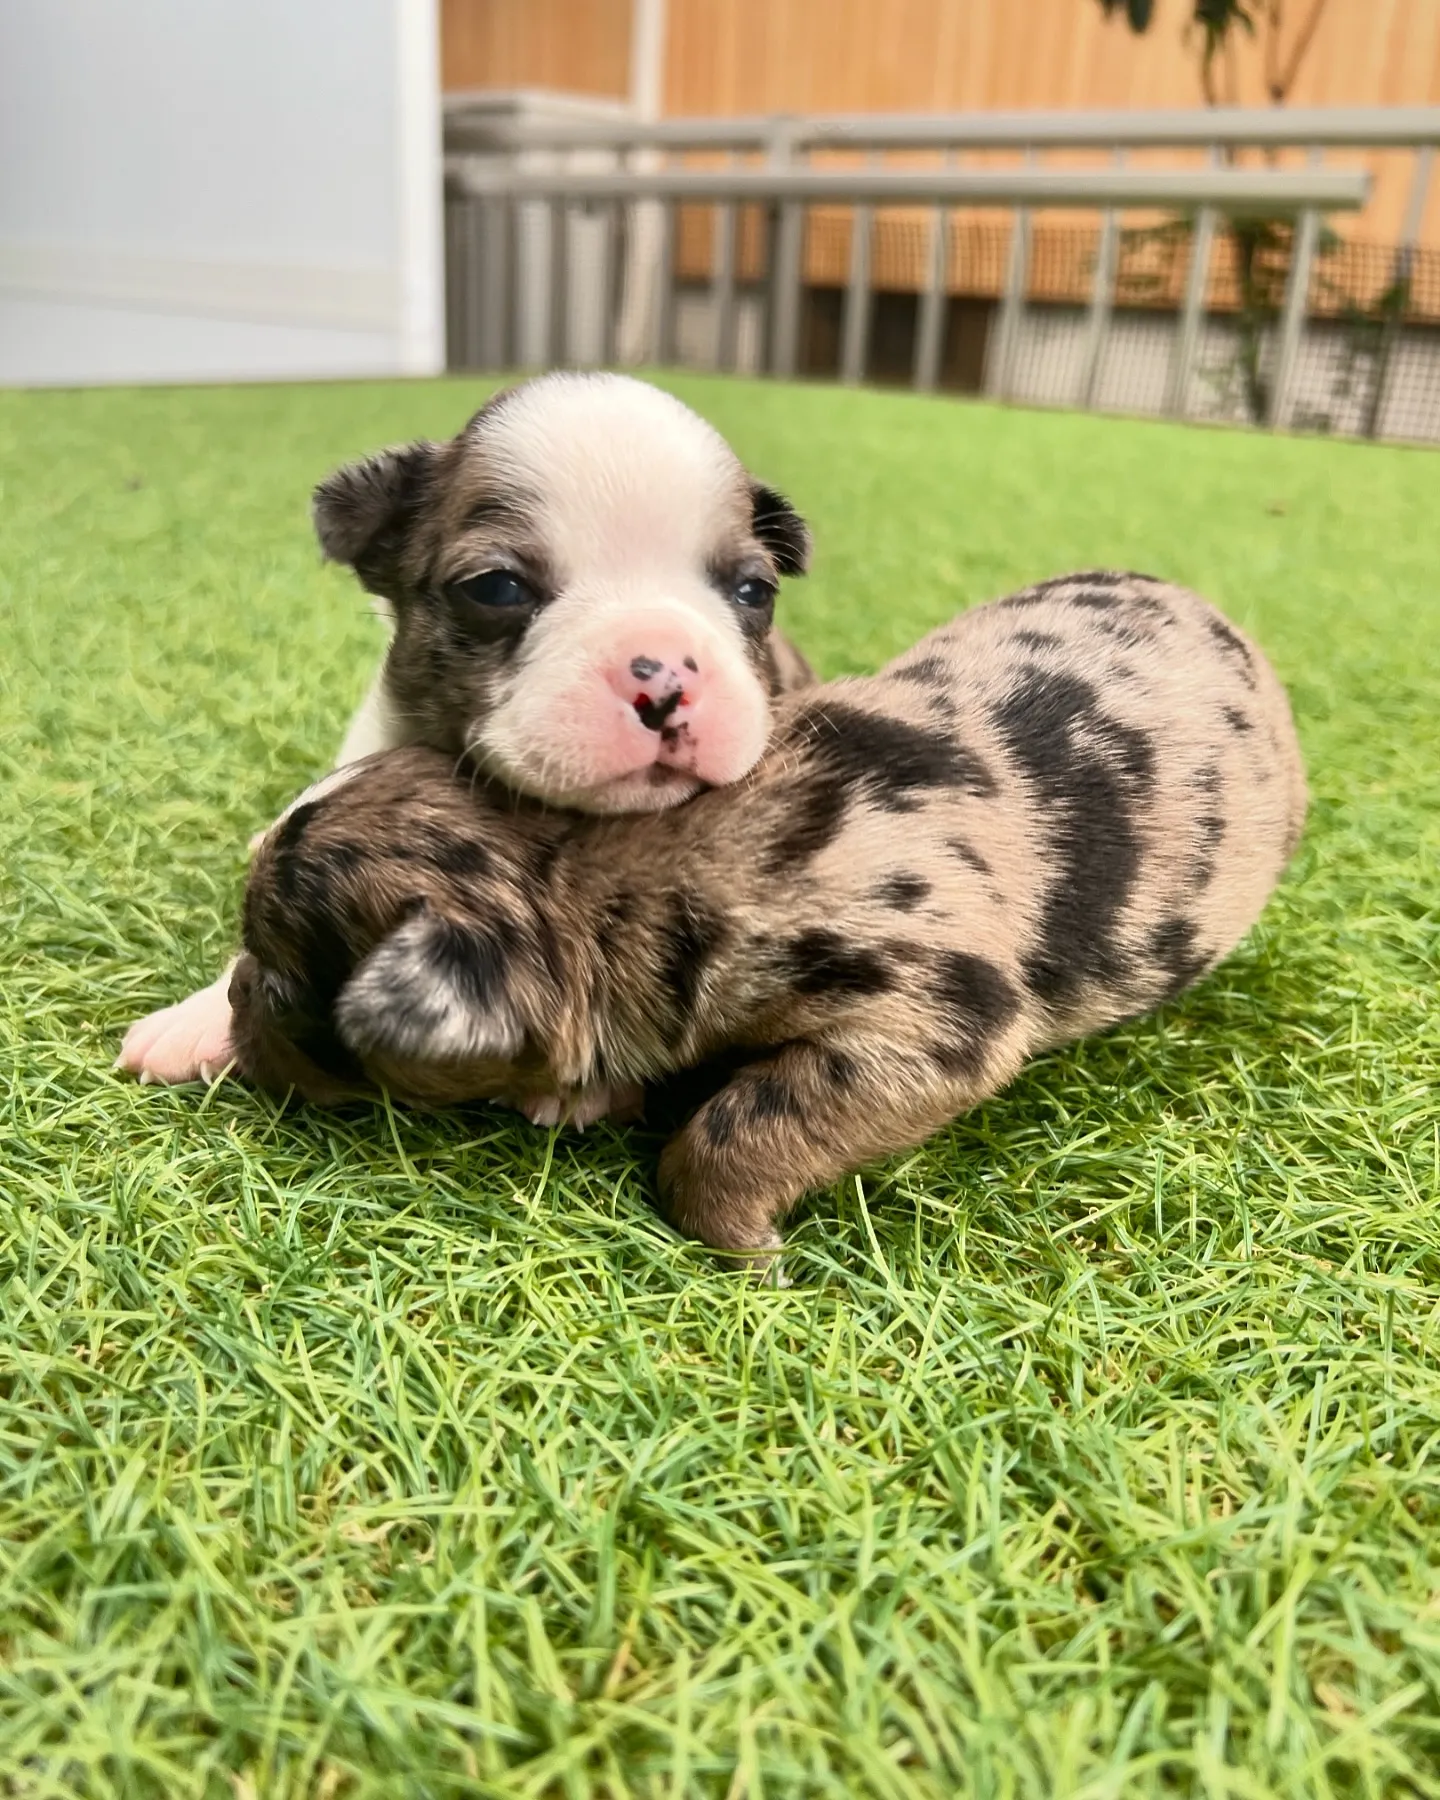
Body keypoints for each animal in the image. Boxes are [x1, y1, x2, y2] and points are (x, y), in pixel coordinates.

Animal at [225, 576, 1303, 1267]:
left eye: (279, 983)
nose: (233, 995)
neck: (593, 868)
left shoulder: (936, 1013)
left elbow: (746, 1123)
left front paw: (745, 1244)